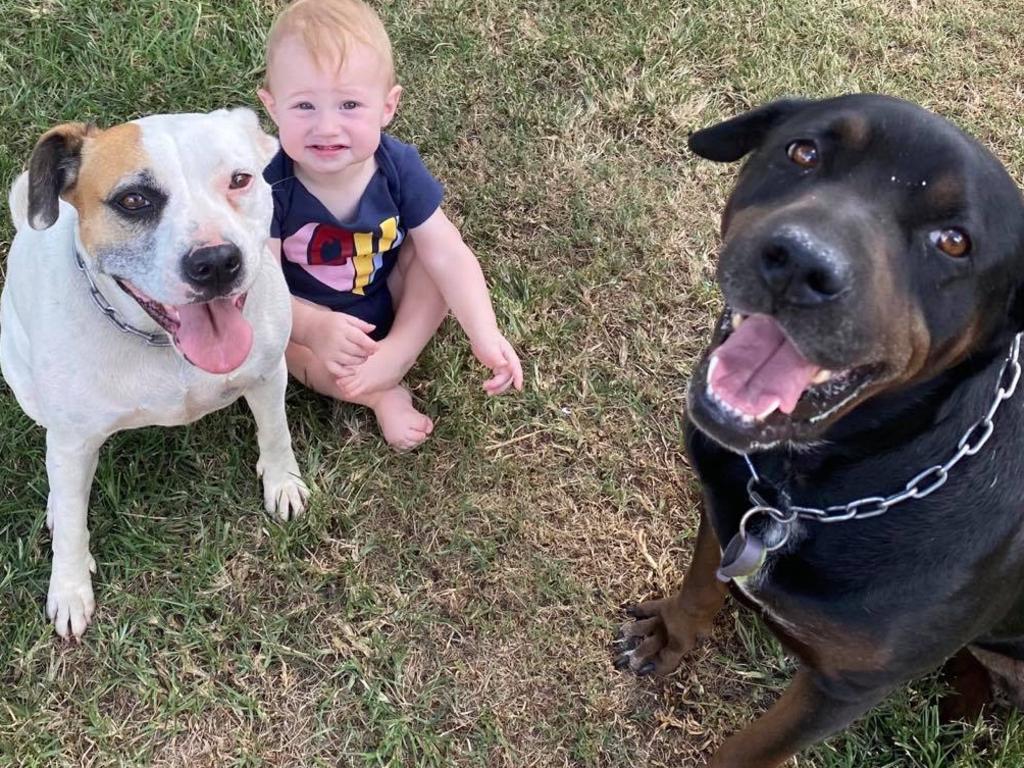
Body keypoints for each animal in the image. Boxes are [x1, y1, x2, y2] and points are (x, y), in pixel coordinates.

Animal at [2, 107, 309, 638]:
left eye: (240, 179)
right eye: (133, 200)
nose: (216, 261)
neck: (163, 345)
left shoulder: (268, 374)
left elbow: (275, 432)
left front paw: (282, 481)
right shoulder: (72, 440)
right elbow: (71, 518)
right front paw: (69, 587)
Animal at [614, 96, 1024, 768]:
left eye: (954, 242)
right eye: (803, 151)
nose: (801, 262)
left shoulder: (844, 688)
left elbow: (749, 751)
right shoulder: (725, 508)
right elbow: (701, 585)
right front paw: (669, 636)